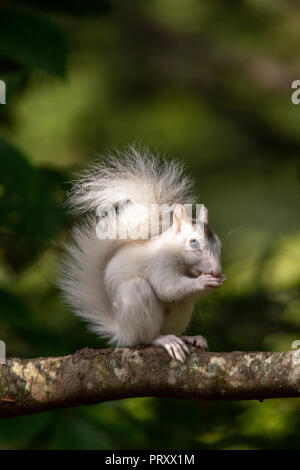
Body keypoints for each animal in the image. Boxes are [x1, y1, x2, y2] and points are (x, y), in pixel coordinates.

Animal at [59, 145, 226, 362]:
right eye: (194, 242)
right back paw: (165, 340)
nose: (217, 270)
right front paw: (204, 281)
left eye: (219, 244)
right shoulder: (160, 263)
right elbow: (167, 288)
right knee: (146, 337)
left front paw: (218, 279)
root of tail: (123, 332)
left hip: (181, 310)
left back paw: (189, 338)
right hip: (135, 298)